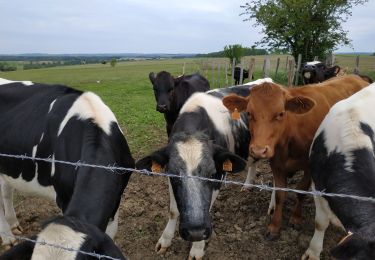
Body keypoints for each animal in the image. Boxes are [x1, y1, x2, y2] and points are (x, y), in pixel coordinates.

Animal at [135, 78, 274, 258]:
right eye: (173, 174)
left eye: (211, 173)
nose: (195, 232)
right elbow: (173, 210)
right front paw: (165, 241)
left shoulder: (219, 177)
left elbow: (206, 208)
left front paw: (197, 249)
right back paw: (248, 185)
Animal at [222, 74, 372, 239]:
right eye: (249, 113)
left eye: (281, 113)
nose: (259, 150)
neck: (291, 134)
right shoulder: (277, 165)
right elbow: (280, 194)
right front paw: (274, 226)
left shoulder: (309, 167)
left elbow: (301, 191)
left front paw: (295, 218)